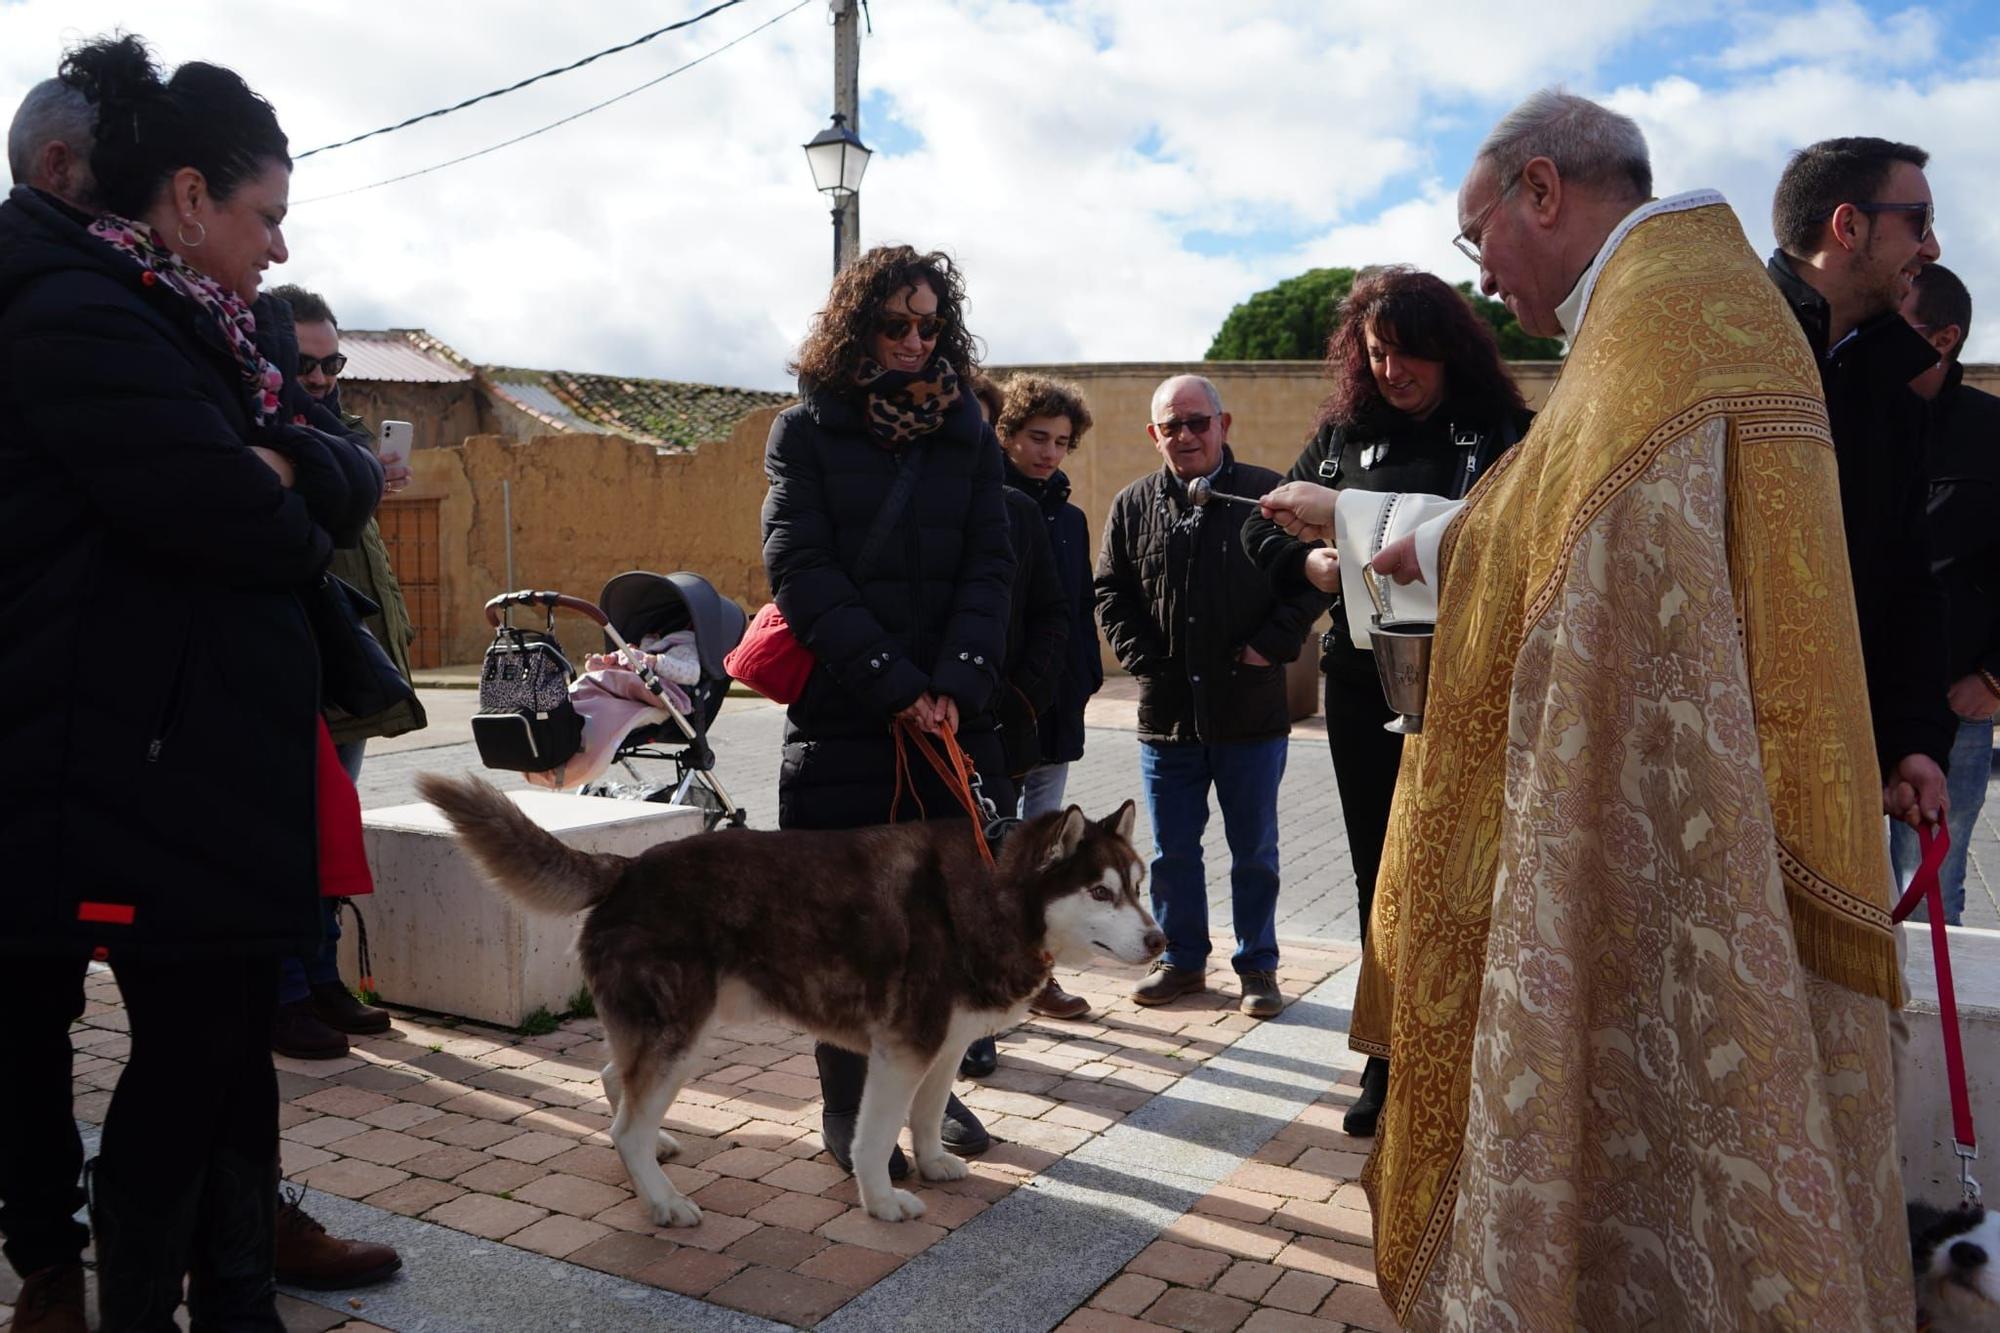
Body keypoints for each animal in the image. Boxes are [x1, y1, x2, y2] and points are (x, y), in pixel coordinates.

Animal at [418, 772, 1168, 1216]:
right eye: (1100, 892)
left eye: (1139, 886)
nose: (1161, 940)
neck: (996, 889)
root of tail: (627, 866)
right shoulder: (901, 1050)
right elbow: (874, 1134)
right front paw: (882, 1200)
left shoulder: (945, 1046)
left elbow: (927, 1119)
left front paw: (931, 1164)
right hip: (681, 1033)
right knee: (624, 1122)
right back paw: (662, 1200)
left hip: (676, 1028)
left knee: (612, 1079)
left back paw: (654, 1156)